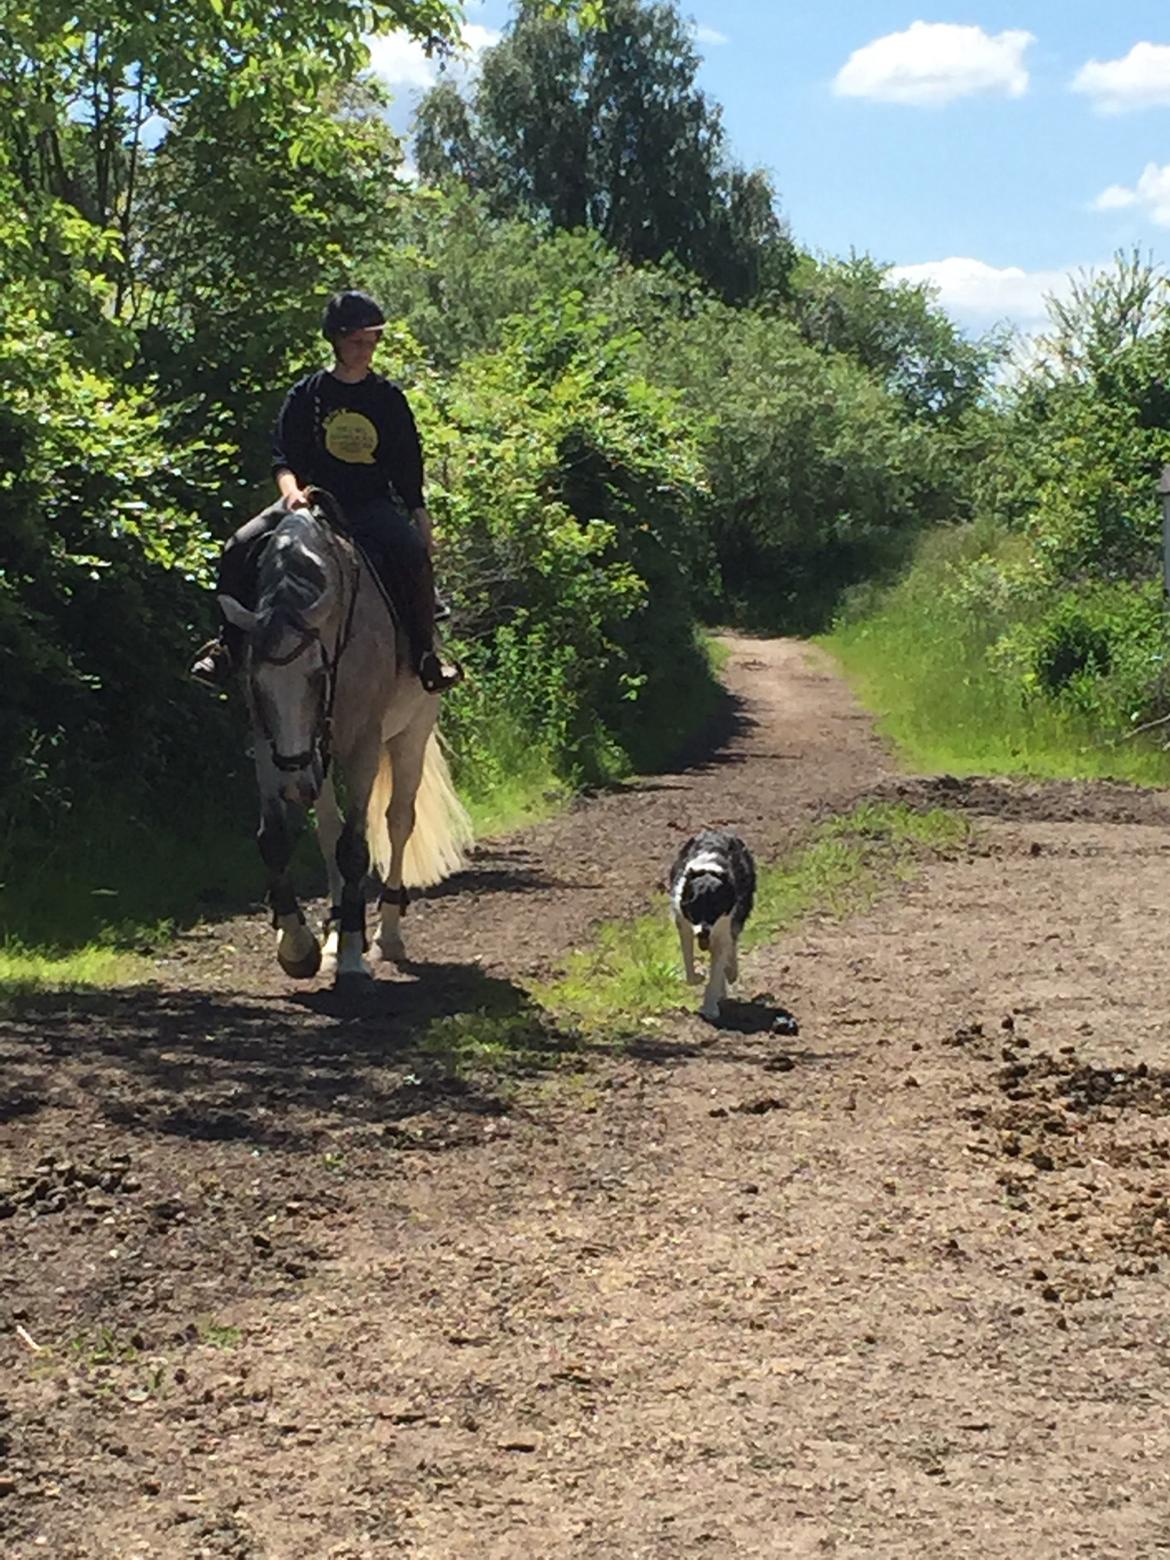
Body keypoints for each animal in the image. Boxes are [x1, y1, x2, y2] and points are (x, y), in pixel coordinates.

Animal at [218, 496, 474, 985]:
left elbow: (355, 848)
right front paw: (299, 947)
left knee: (398, 821)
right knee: (329, 829)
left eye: (317, 676)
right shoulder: (269, 744)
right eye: (257, 684)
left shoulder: (363, 744)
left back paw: (386, 937)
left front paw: (355, 953)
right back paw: (335, 934)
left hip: (410, 734)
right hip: (320, 757)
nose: (294, 786)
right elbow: (277, 838)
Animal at [667, 829, 761, 1023]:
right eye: (695, 909)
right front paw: (698, 978)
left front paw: (710, 1007)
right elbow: (689, 965)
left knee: (731, 945)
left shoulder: (723, 926)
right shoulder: (685, 925)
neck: (708, 870)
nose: (703, 933)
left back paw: (731, 972)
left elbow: (717, 971)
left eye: (714, 910)